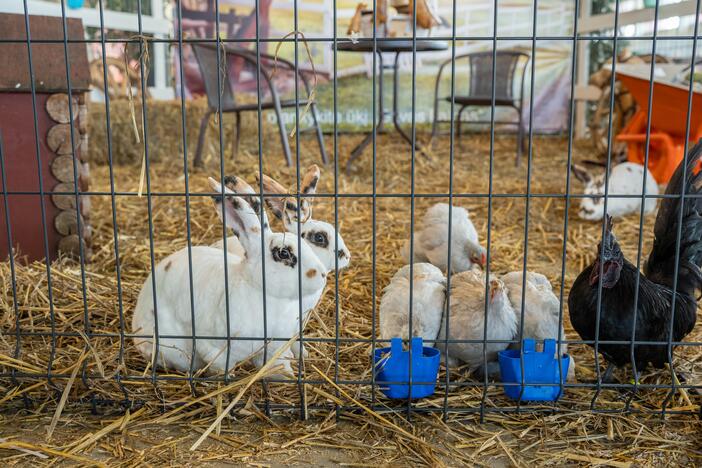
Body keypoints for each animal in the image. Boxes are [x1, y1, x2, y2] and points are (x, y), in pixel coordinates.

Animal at [133, 177, 328, 374]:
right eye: (283, 253)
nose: (322, 274)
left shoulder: (272, 347)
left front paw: (286, 375)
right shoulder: (212, 347)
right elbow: (221, 367)